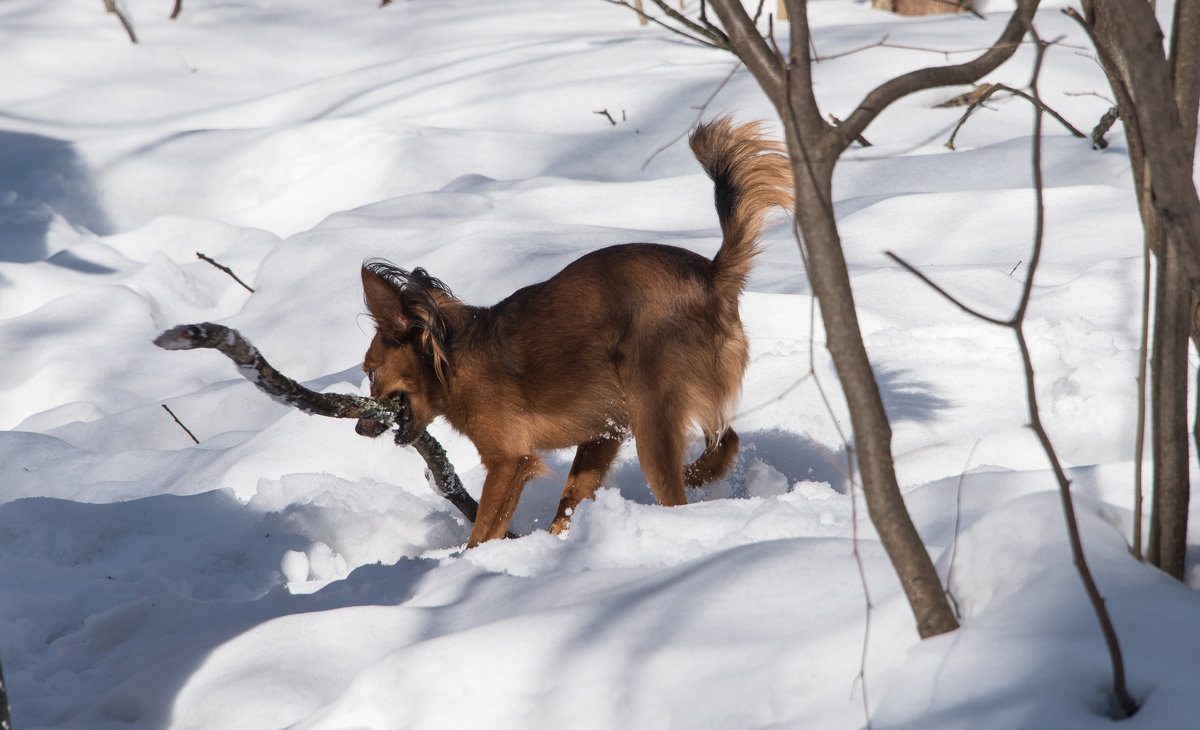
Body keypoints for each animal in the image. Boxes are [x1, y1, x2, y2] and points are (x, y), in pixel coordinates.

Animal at [355, 117, 796, 545]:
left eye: (371, 372)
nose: (359, 427)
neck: (454, 357)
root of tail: (711, 275)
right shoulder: (602, 434)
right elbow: (570, 498)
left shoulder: (508, 460)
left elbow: (482, 533)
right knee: (727, 441)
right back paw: (698, 477)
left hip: (652, 419)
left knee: (678, 490)